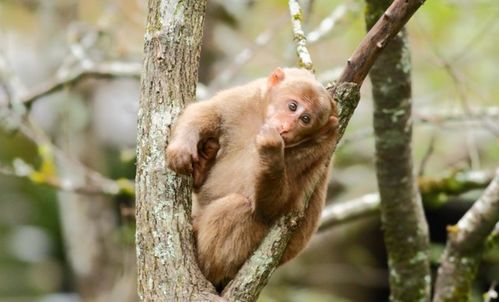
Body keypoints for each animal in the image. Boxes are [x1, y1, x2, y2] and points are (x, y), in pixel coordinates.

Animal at [168, 68, 340, 290]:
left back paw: (207, 268)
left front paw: (271, 150)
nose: (286, 127)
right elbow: (207, 112)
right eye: (292, 106)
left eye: (305, 119)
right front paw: (181, 148)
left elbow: (277, 210)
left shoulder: (318, 149)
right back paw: (202, 167)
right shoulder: (244, 98)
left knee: (238, 207)